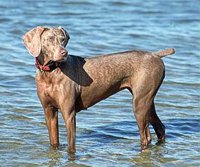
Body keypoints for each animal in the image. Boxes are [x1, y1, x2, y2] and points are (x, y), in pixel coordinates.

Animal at [22, 25, 174, 153]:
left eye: (63, 39)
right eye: (49, 39)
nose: (64, 53)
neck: (50, 73)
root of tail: (156, 54)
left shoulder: (69, 113)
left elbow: (71, 145)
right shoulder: (49, 110)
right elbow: (54, 142)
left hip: (140, 103)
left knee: (146, 136)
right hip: (147, 100)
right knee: (160, 128)